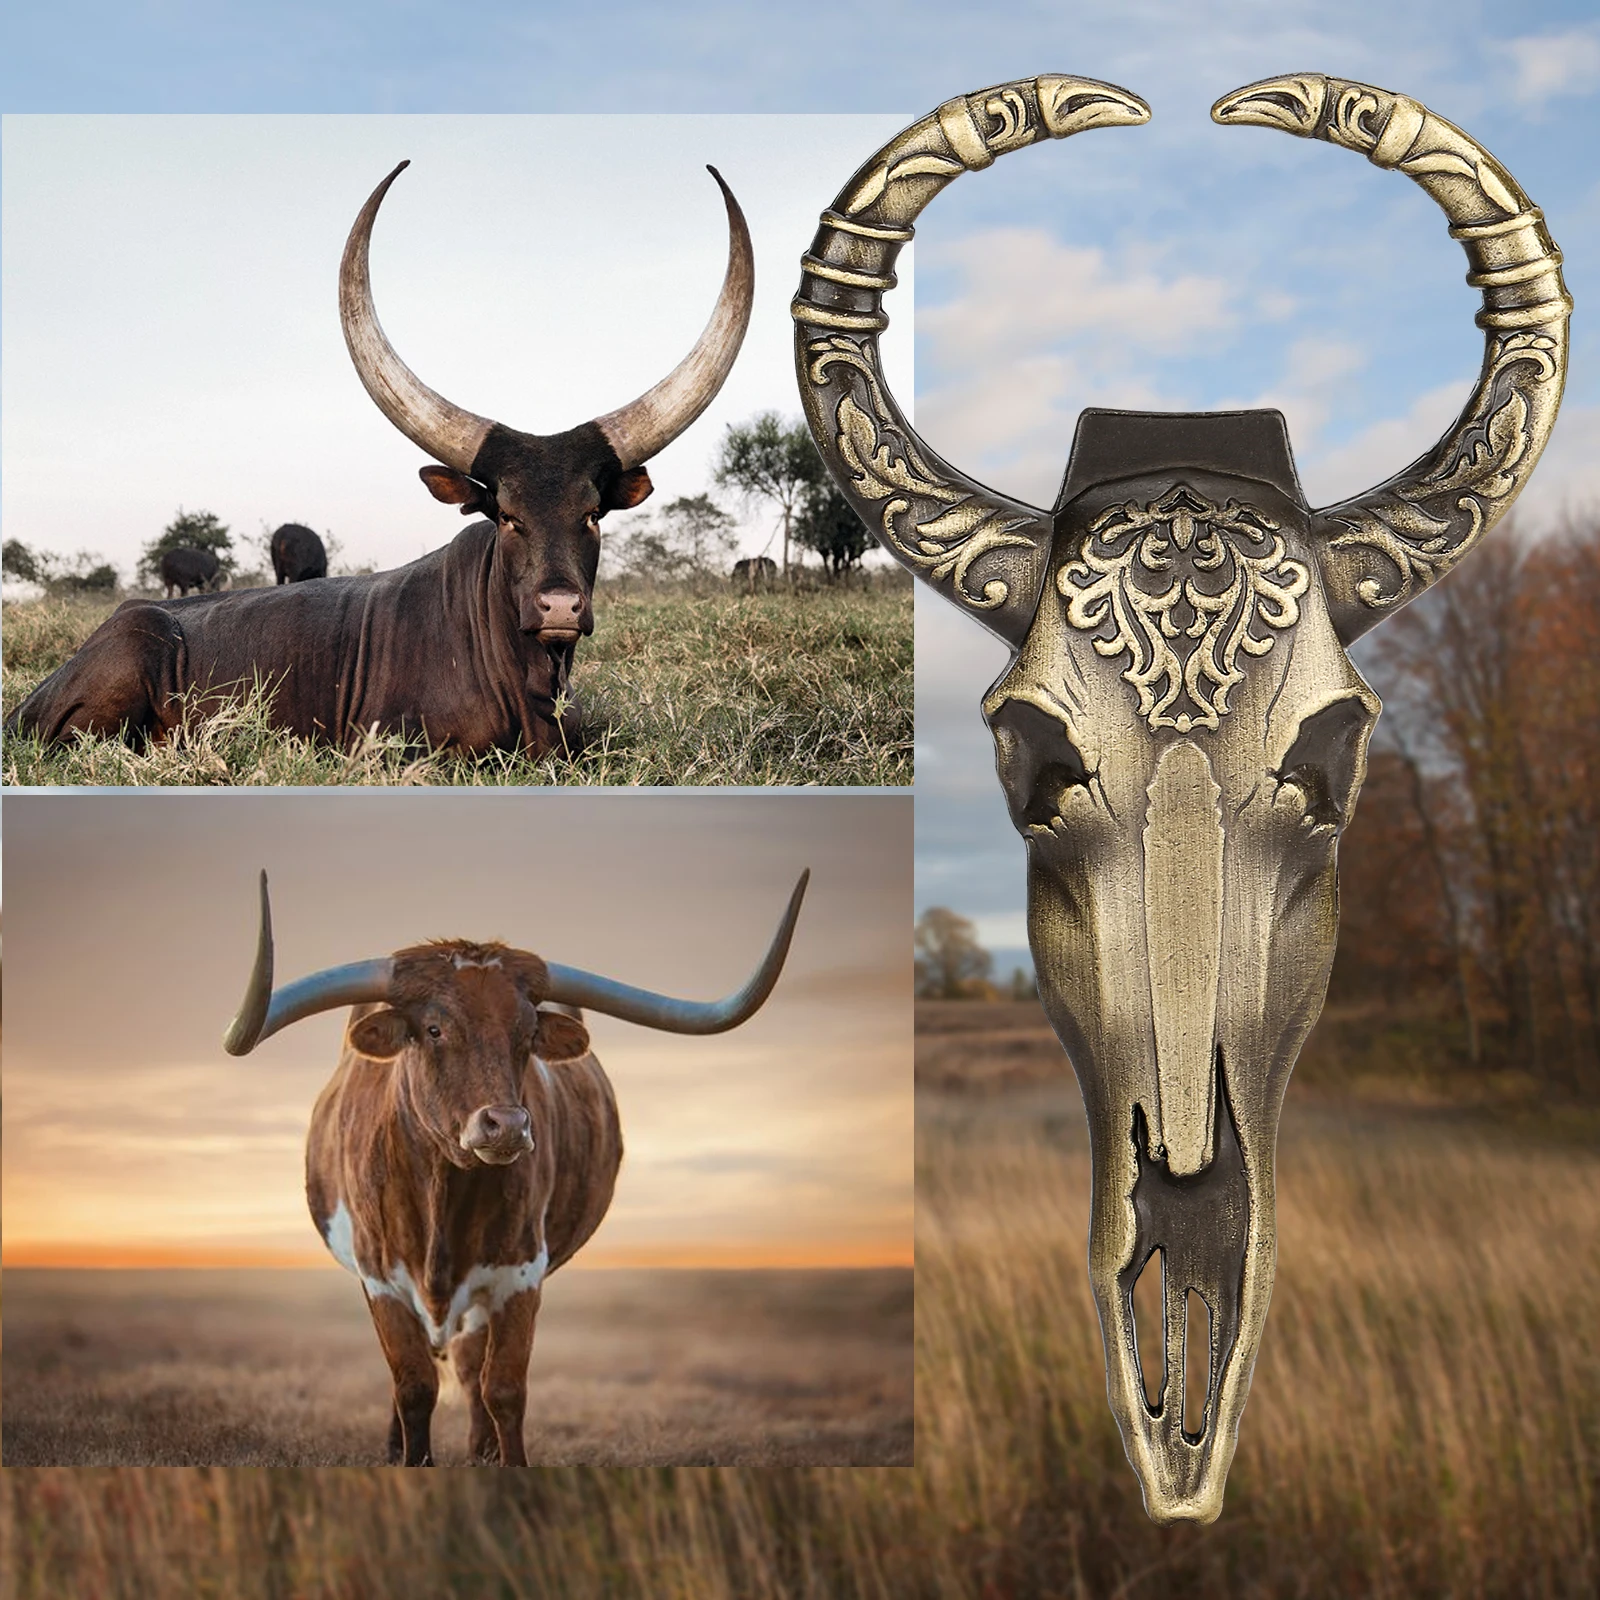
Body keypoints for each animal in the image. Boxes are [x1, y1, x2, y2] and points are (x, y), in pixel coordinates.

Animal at [224, 867, 808, 1466]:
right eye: (434, 1029)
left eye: (527, 1034)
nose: (505, 1126)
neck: (440, 1192)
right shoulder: (378, 1275)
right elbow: (413, 1386)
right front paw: (412, 1460)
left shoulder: (519, 1274)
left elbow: (502, 1387)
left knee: (470, 1367)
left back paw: (480, 1449)